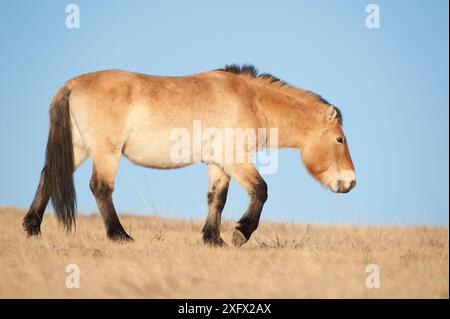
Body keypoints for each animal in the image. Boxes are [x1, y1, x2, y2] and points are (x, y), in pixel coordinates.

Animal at [23, 65, 356, 248]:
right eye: (339, 139)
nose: (350, 182)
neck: (251, 101)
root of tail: (71, 85)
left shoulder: (218, 164)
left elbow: (216, 199)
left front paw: (213, 239)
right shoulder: (235, 159)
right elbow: (261, 190)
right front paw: (240, 234)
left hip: (79, 147)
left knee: (49, 176)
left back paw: (32, 228)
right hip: (106, 151)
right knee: (100, 188)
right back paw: (119, 235)